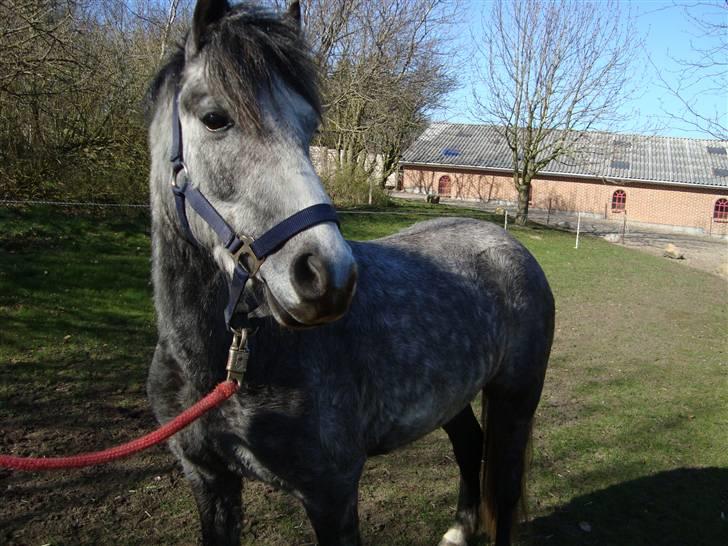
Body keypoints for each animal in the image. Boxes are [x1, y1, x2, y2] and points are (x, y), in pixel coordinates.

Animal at [144, 1, 552, 544]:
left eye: (308, 129)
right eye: (215, 118)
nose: (327, 276)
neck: (222, 364)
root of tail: (508, 244)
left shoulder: (332, 492)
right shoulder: (208, 479)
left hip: (515, 401)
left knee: (502, 492)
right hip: (453, 398)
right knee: (469, 446)